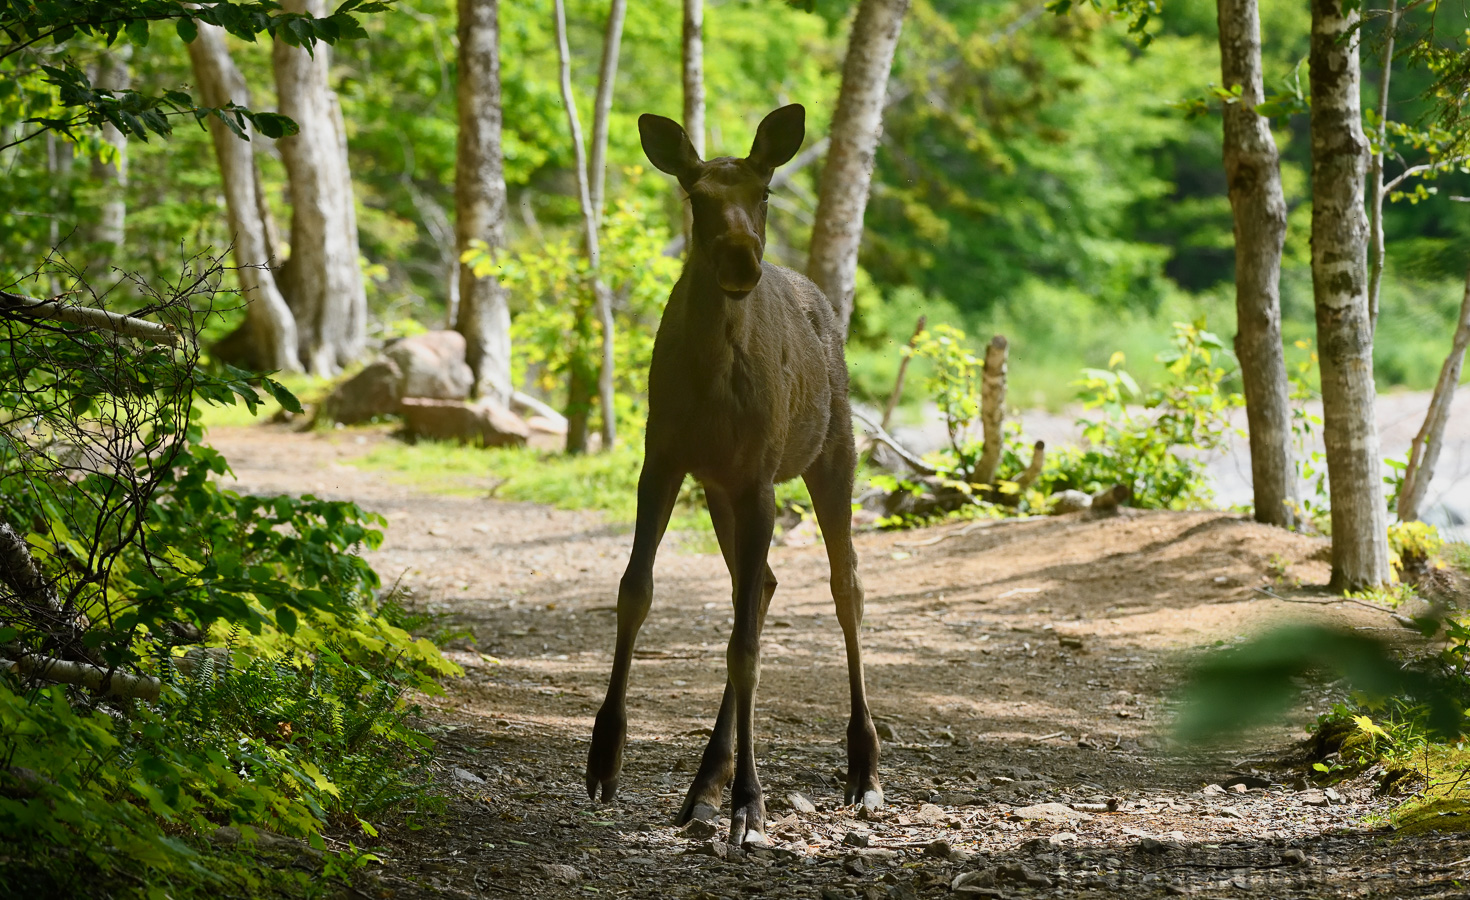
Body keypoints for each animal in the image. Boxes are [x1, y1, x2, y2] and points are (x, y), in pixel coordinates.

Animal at [582, 103, 882, 841]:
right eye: (697, 197)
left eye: (765, 191)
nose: (742, 258)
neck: (713, 383)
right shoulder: (663, 459)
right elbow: (635, 591)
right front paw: (605, 757)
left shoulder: (758, 480)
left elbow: (743, 645)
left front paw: (752, 801)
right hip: (721, 489)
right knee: (767, 584)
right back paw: (703, 786)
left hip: (831, 452)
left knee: (845, 587)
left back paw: (863, 769)